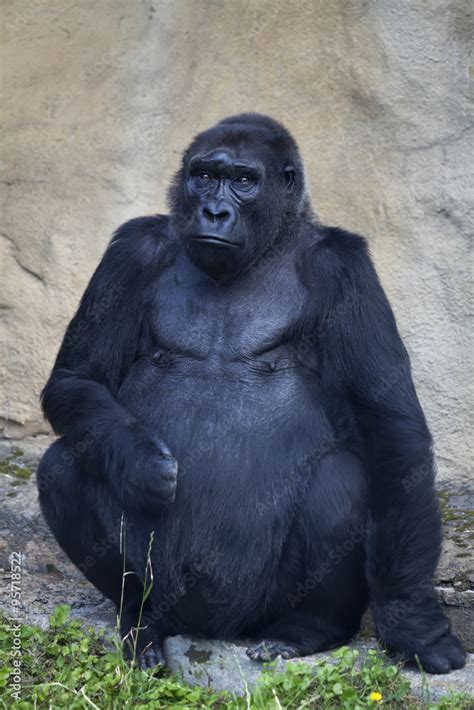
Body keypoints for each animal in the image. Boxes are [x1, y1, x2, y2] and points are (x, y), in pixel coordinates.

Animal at [38, 114, 466, 676]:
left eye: (243, 181)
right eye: (204, 176)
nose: (214, 211)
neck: (271, 242)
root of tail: (214, 631)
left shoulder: (344, 268)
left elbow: (391, 429)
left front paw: (414, 624)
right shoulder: (133, 251)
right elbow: (77, 378)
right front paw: (140, 463)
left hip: (260, 610)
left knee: (344, 478)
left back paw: (308, 630)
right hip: (171, 598)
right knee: (65, 463)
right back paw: (140, 620)